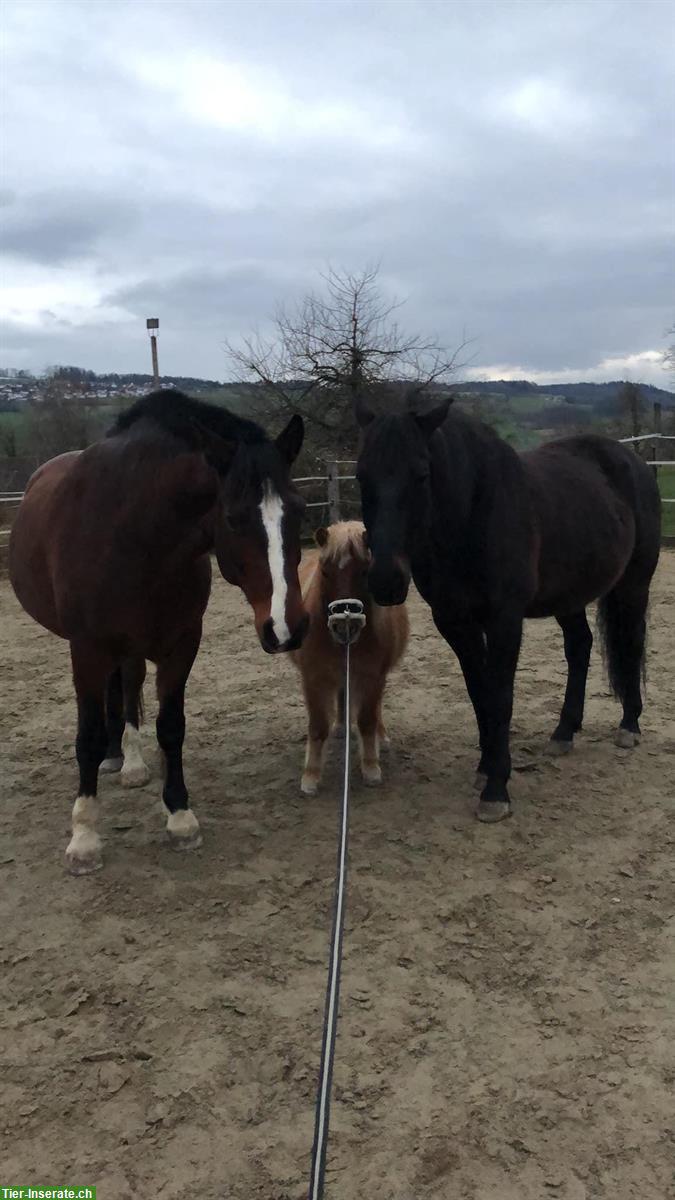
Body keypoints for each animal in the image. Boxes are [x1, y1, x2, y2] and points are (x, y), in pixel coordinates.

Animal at [9, 393, 309, 873]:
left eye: (299, 511)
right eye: (233, 517)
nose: (286, 627)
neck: (135, 531)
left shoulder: (182, 645)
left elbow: (171, 727)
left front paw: (180, 816)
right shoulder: (87, 648)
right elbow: (87, 736)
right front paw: (84, 837)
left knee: (129, 687)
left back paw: (127, 759)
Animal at [288, 523, 408, 796]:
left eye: (364, 572)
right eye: (325, 572)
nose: (345, 624)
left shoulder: (372, 677)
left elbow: (367, 720)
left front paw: (371, 767)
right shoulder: (314, 678)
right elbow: (318, 725)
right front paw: (311, 776)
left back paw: (380, 737)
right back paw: (341, 727)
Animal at [355, 398, 658, 820]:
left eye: (421, 474)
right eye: (360, 477)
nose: (386, 580)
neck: (473, 514)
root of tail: (633, 461)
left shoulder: (504, 621)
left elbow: (500, 695)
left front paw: (496, 790)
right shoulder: (454, 622)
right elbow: (479, 692)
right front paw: (486, 767)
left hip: (633, 585)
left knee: (630, 644)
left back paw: (629, 725)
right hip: (569, 596)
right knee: (579, 648)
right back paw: (564, 732)